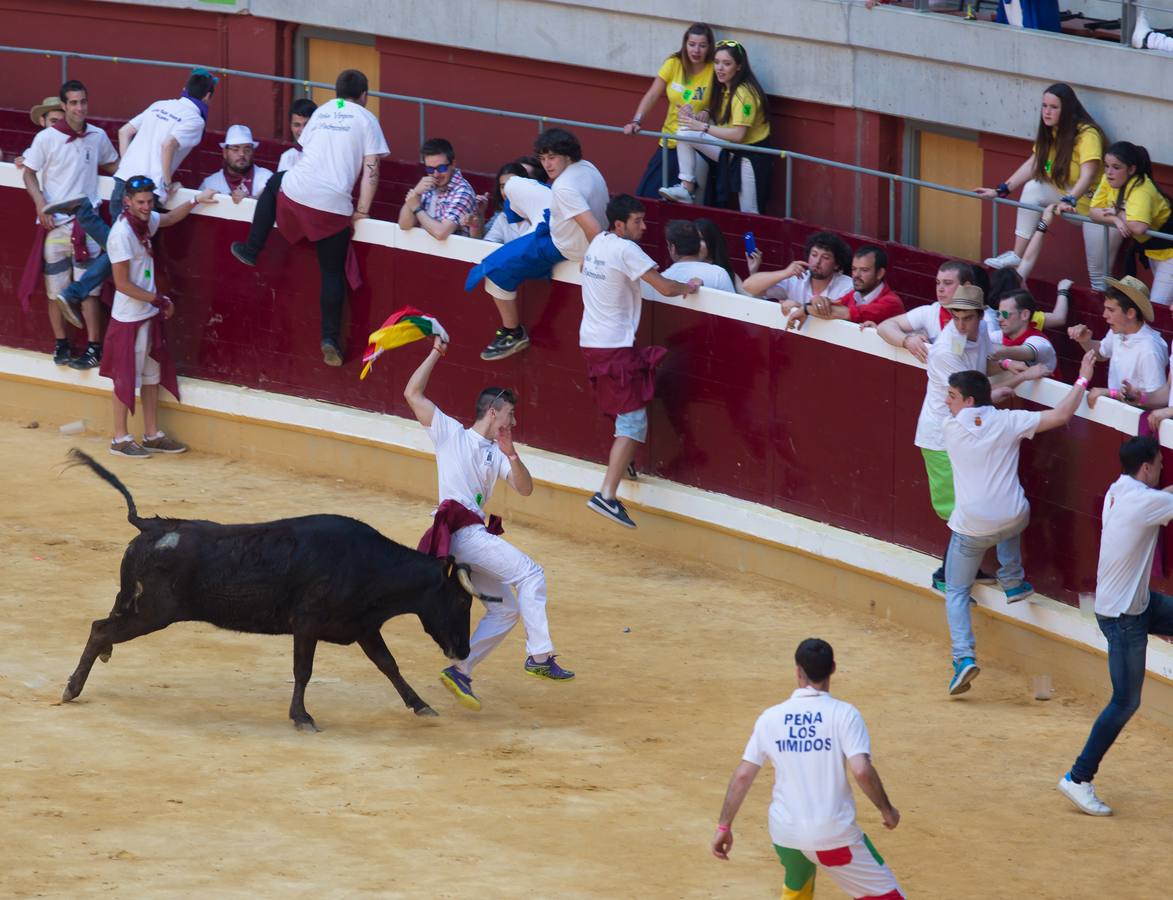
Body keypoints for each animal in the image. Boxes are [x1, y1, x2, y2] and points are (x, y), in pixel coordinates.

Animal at [63, 450, 499, 732]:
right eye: (462, 599)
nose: (462, 650)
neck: (367, 564)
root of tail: (152, 525)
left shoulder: (362, 627)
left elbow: (388, 665)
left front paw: (421, 706)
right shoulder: (307, 624)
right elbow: (303, 670)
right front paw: (302, 717)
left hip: (139, 605)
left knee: (103, 623)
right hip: (154, 612)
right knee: (101, 628)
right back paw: (71, 689)